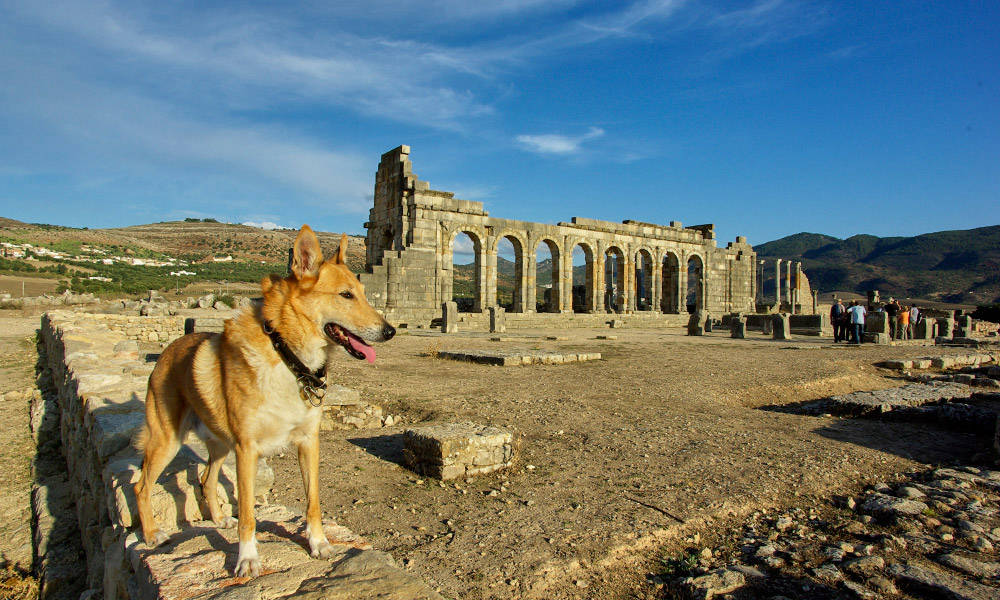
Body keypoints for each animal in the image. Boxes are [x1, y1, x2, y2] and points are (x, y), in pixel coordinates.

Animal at [132, 225, 394, 576]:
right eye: (346, 295)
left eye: (365, 294)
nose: (391, 330)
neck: (288, 356)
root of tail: (169, 348)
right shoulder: (247, 449)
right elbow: (248, 514)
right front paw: (247, 559)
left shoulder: (308, 441)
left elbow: (313, 502)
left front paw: (319, 543)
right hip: (167, 439)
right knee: (142, 486)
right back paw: (151, 534)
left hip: (219, 444)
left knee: (206, 478)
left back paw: (218, 519)